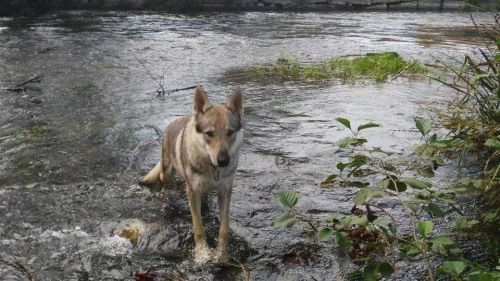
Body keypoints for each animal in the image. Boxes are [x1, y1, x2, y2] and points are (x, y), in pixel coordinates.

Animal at [140, 85, 243, 260]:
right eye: (209, 134)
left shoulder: (225, 191)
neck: (212, 169)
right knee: (163, 182)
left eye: (230, 132)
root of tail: (173, 122)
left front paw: (222, 254)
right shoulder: (192, 192)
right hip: (166, 174)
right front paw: (202, 253)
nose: (223, 160)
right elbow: (199, 228)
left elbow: (224, 230)